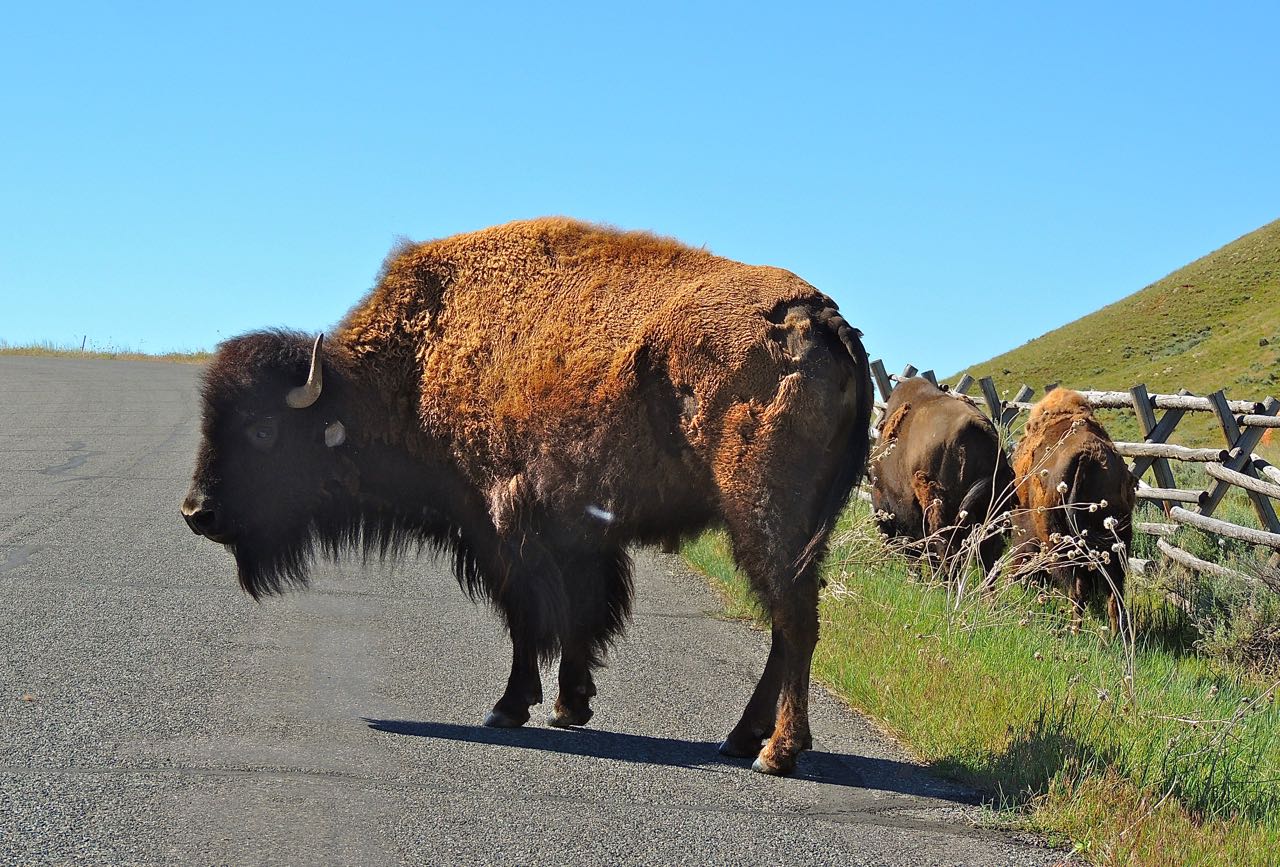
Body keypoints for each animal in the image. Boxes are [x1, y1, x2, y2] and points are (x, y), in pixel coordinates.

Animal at [180, 215, 875, 773]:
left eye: (263, 429)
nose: (196, 512)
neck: (415, 362)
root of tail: (822, 319)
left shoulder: (500, 526)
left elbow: (528, 617)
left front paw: (510, 707)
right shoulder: (576, 534)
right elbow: (578, 616)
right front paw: (571, 704)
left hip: (760, 515)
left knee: (792, 618)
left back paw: (775, 752)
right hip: (794, 528)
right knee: (787, 622)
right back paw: (741, 738)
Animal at [1008, 389, 1141, 632]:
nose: (1018, 582)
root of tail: (1087, 457)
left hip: (1063, 545)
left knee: (1078, 590)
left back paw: (1074, 631)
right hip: (1118, 540)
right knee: (1114, 592)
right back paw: (1115, 634)